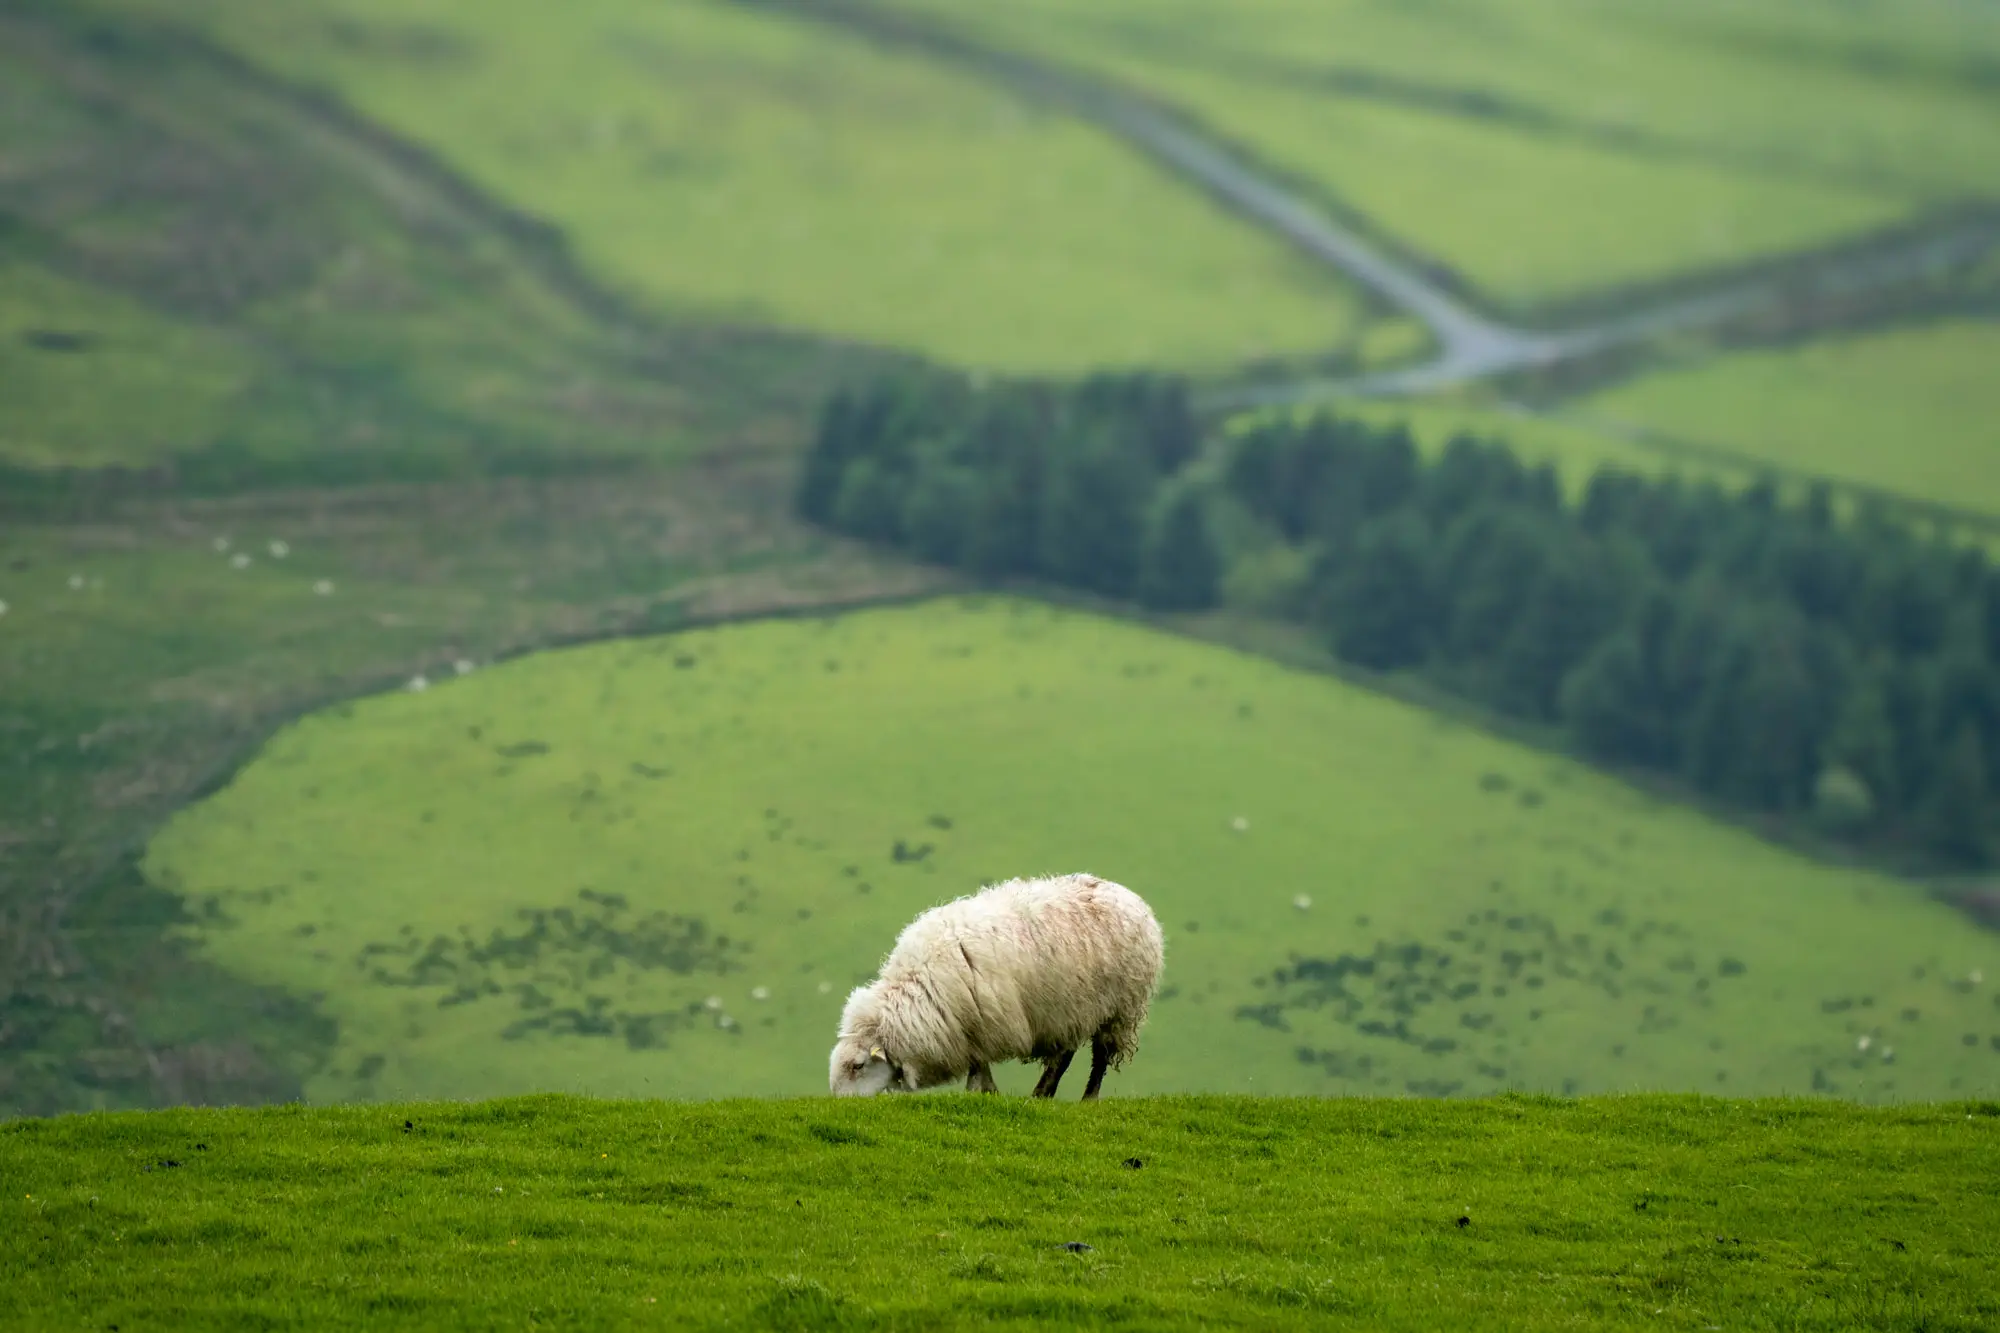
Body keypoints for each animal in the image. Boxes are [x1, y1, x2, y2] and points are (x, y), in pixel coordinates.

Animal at [829, 873, 1164, 1099]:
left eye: (858, 1065)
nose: (841, 1104)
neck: (917, 991)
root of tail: (1129, 896)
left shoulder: (986, 1026)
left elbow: (978, 1071)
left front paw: (981, 1094)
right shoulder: (972, 1032)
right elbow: (980, 1067)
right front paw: (989, 1094)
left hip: (1119, 1008)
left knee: (1100, 1058)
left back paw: (1088, 1099)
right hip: (1068, 1009)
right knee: (1064, 1055)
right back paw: (1041, 1095)